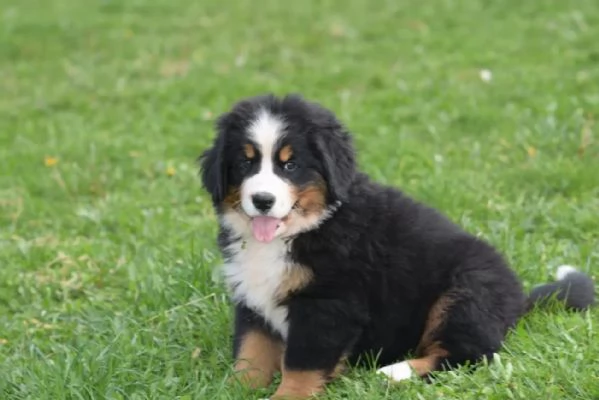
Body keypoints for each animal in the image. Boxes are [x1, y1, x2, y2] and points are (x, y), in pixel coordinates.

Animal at [198, 94, 596, 400]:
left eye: (290, 164)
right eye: (246, 163)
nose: (262, 201)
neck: (305, 229)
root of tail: (518, 299)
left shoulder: (328, 304)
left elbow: (301, 364)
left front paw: (286, 394)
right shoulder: (253, 297)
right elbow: (251, 353)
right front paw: (235, 389)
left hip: (465, 292)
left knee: (467, 354)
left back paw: (394, 372)